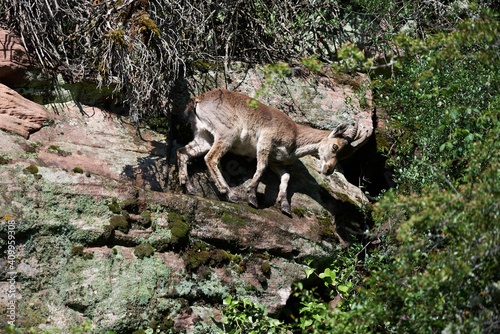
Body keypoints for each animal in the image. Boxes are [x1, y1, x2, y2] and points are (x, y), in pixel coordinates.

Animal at [178, 88, 358, 214]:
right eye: (335, 146)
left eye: (343, 155)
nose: (328, 170)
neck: (295, 136)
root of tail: (199, 100)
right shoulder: (265, 141)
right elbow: (262, 167)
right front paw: (252, 196)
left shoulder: (276, 161)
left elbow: (286, 176)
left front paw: (284, 205)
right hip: (226, 134)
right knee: (211, 158)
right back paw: (229, 193)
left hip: (204, 136)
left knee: (183, 152)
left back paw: (188, 186)